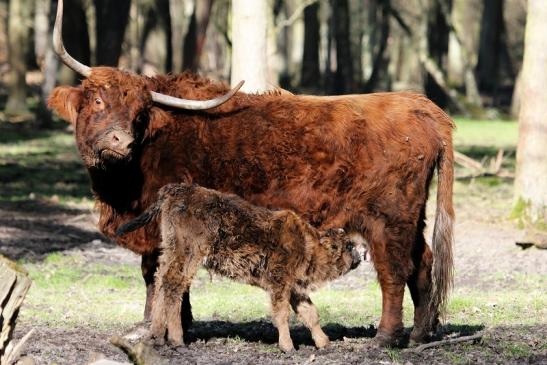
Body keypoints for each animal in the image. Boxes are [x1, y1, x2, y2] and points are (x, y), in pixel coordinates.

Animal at [117, 183, 362, 352]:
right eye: (348, 246)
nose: (359, 255)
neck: (307, 244)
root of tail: (176, 189)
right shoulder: (279, 283)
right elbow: (282, 314)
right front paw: (288, 346)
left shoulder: (295, 288)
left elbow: (311, 313)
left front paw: (324, 343)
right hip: (189, 255)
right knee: (174, 285)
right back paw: (176, 340)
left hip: (170, 250)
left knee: (161, 281)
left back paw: (156, 336)